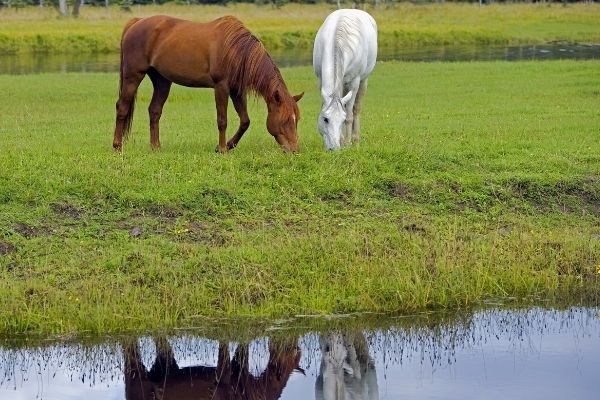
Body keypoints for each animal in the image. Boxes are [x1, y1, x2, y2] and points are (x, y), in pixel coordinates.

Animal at [111, 15, 304, 153]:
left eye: (297, 119)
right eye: (286, 119)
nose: (294, 150)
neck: (236, 50)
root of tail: (136, 22)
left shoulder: (236, 90)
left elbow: (245, 121)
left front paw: (228, 145)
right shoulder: (221, 87)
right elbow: (222, 120)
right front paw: (223, 149)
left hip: (162, 80)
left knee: (154, 111)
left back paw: (155, 147)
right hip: (133, 76)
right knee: (122, 107)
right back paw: (117, 146)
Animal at [312, 9, 378, 151]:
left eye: (341, 121)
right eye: (325, 119)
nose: (334, 149)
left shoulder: (354, 83)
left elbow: (349, 115)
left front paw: (347, 143)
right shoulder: (321, 80)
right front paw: (341, 141)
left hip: (363, 82)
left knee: (356, 109)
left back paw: (355, 140)